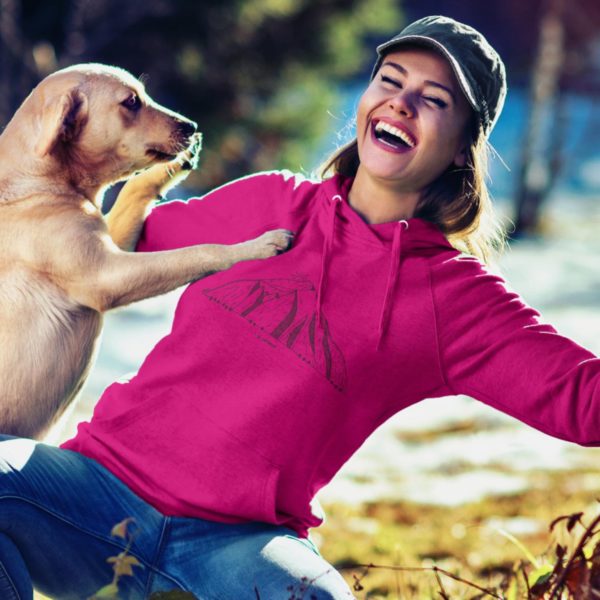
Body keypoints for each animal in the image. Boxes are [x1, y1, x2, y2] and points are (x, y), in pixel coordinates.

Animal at [0, 64, 290, 440]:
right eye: (131, 102)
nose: (191, 126)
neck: (39, 179)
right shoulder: (106, 275)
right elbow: (198, 252)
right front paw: (255, 247)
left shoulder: (114, 244)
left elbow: (133, 191)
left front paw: (172, 166)